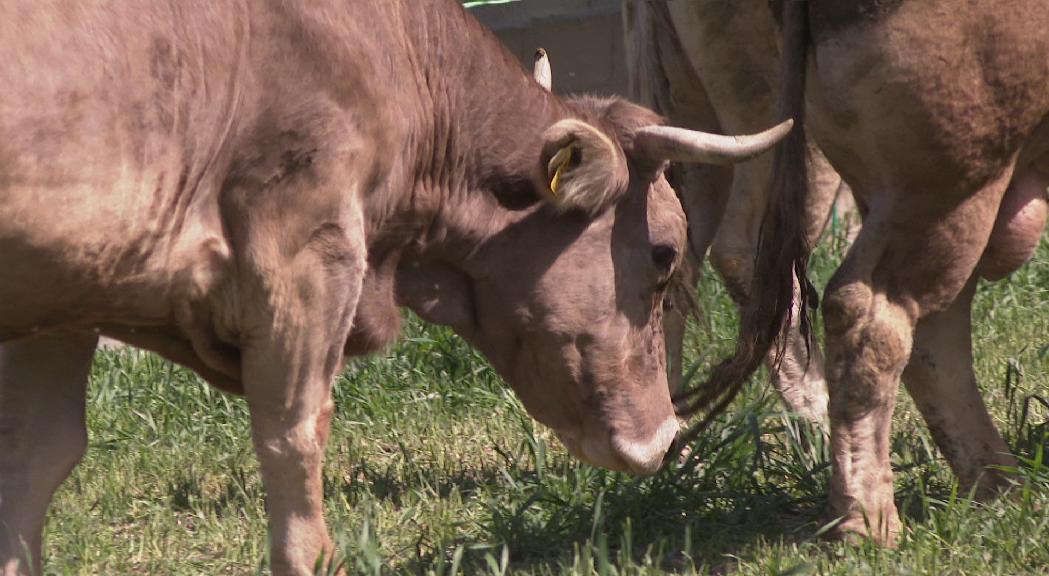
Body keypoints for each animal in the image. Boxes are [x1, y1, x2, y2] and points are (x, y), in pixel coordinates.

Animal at [0, 2, 788, 570]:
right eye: (663, 252)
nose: (662, 438)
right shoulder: (308, 254)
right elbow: (295, 433)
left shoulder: (64, 301)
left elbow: (37, 460)